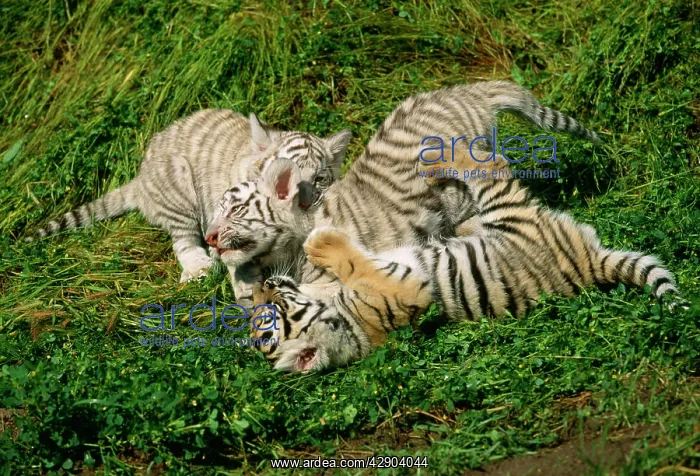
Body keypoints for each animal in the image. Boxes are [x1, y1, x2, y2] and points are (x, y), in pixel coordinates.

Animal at [25, 110, 351, 306]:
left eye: (319, 179)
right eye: (287, 174)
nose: (304, 202)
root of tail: (140, 179)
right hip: (178, 184)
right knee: (183, 240)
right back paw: (199, 267)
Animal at [250, 147, 683, 372]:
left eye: (268, 310)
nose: (263, 284)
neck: (343, 316)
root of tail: (592, 261)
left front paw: (314, 243)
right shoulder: (407, 290)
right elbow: (354, 262)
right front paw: (319, 241)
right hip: (511, 213)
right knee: (492, 171)